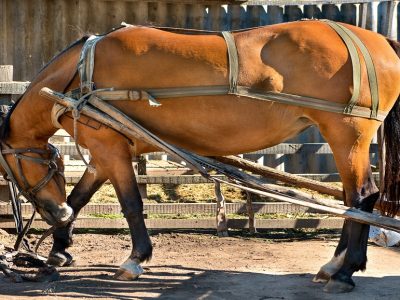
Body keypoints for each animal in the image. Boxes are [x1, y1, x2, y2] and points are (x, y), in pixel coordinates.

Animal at [0, 21, 400, 292]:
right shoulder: (105, 148)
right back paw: (334, 265)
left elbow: (131, 205)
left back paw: (344, 271)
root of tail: (379, 40)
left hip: (347, 134)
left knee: (361, 197)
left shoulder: (109, 148)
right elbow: (79, 197)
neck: (79, 75)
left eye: (10, 172)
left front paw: (135, 259)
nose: (54, 215)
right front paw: (58, 251)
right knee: (352, 201)